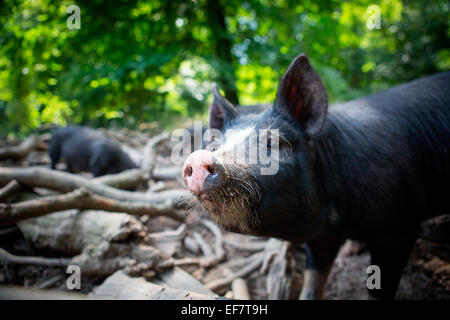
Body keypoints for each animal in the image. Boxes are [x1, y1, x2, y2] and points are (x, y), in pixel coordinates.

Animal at [182, 53, 450, 298]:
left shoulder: (400, 228)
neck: (340, 220)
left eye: (273, 142)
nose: (198, 157)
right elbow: (314, 281)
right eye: (215, 144)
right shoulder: (321, 236)